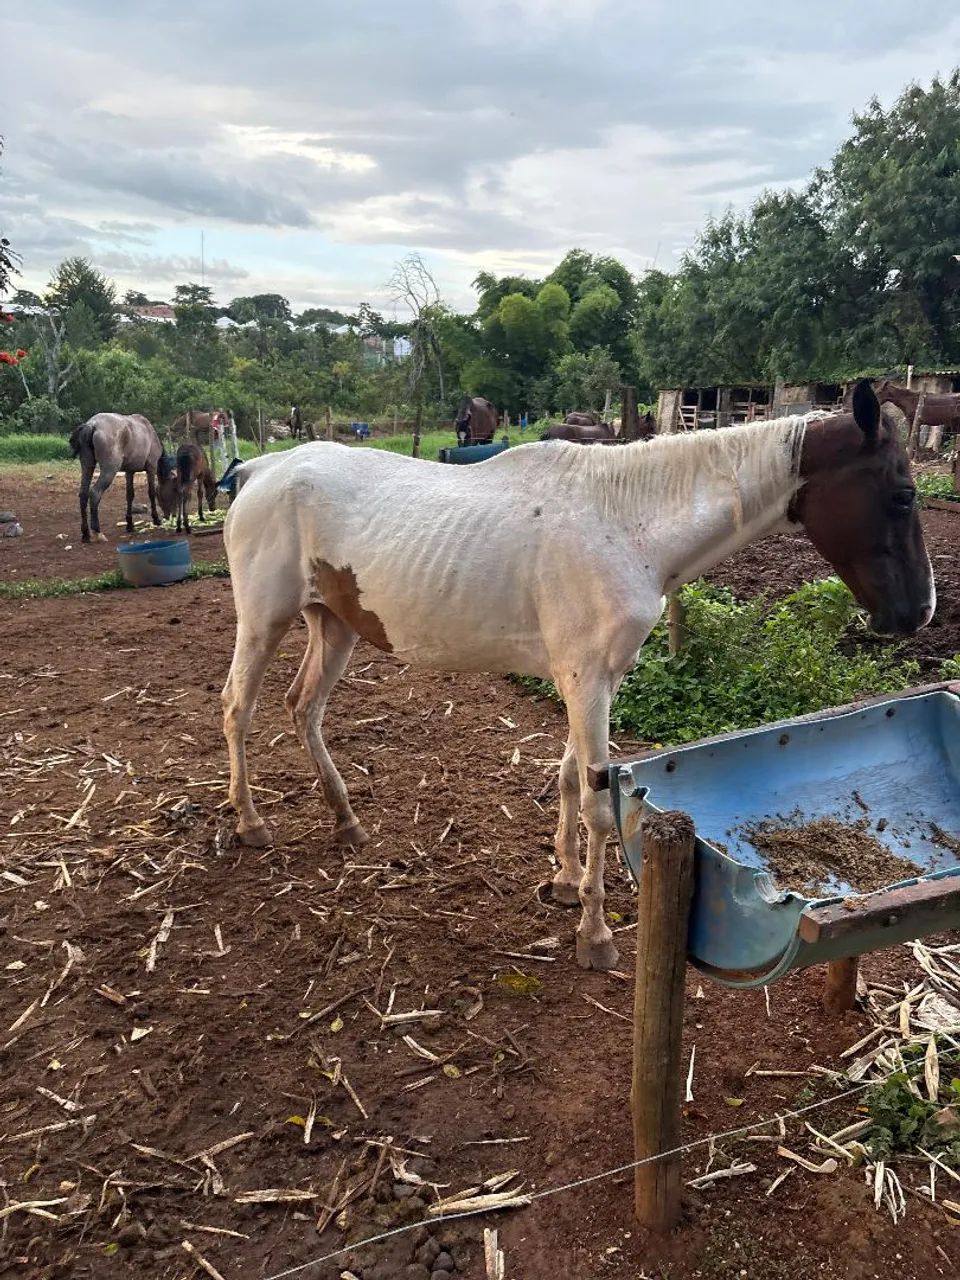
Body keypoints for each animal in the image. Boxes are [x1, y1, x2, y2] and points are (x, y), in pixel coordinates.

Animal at [70, 412, 174, 543]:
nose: (169, 516)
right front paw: (156, 519)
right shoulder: (151, 468)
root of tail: (92, 424)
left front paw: (130, 524)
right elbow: (151, 493)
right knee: (94, 493)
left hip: (87, 466)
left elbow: (129, 495)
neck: (150, 434)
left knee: (83, 494)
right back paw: (97, 531)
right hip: (110, 470)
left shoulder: (129, 472)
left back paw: (85, 534)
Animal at [220, 380, 934, 972]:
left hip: (333, 626)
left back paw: (346, 821)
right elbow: (597, 803)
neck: (624, 524)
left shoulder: (595, 680)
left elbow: (568, 778)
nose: (920, 612)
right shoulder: (586, 682)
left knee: (303, 708)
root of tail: (262, 470)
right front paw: (595, 934)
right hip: (263, 619)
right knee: (237, 708)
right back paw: (250, 824)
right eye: (901, 495)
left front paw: (563, 883)